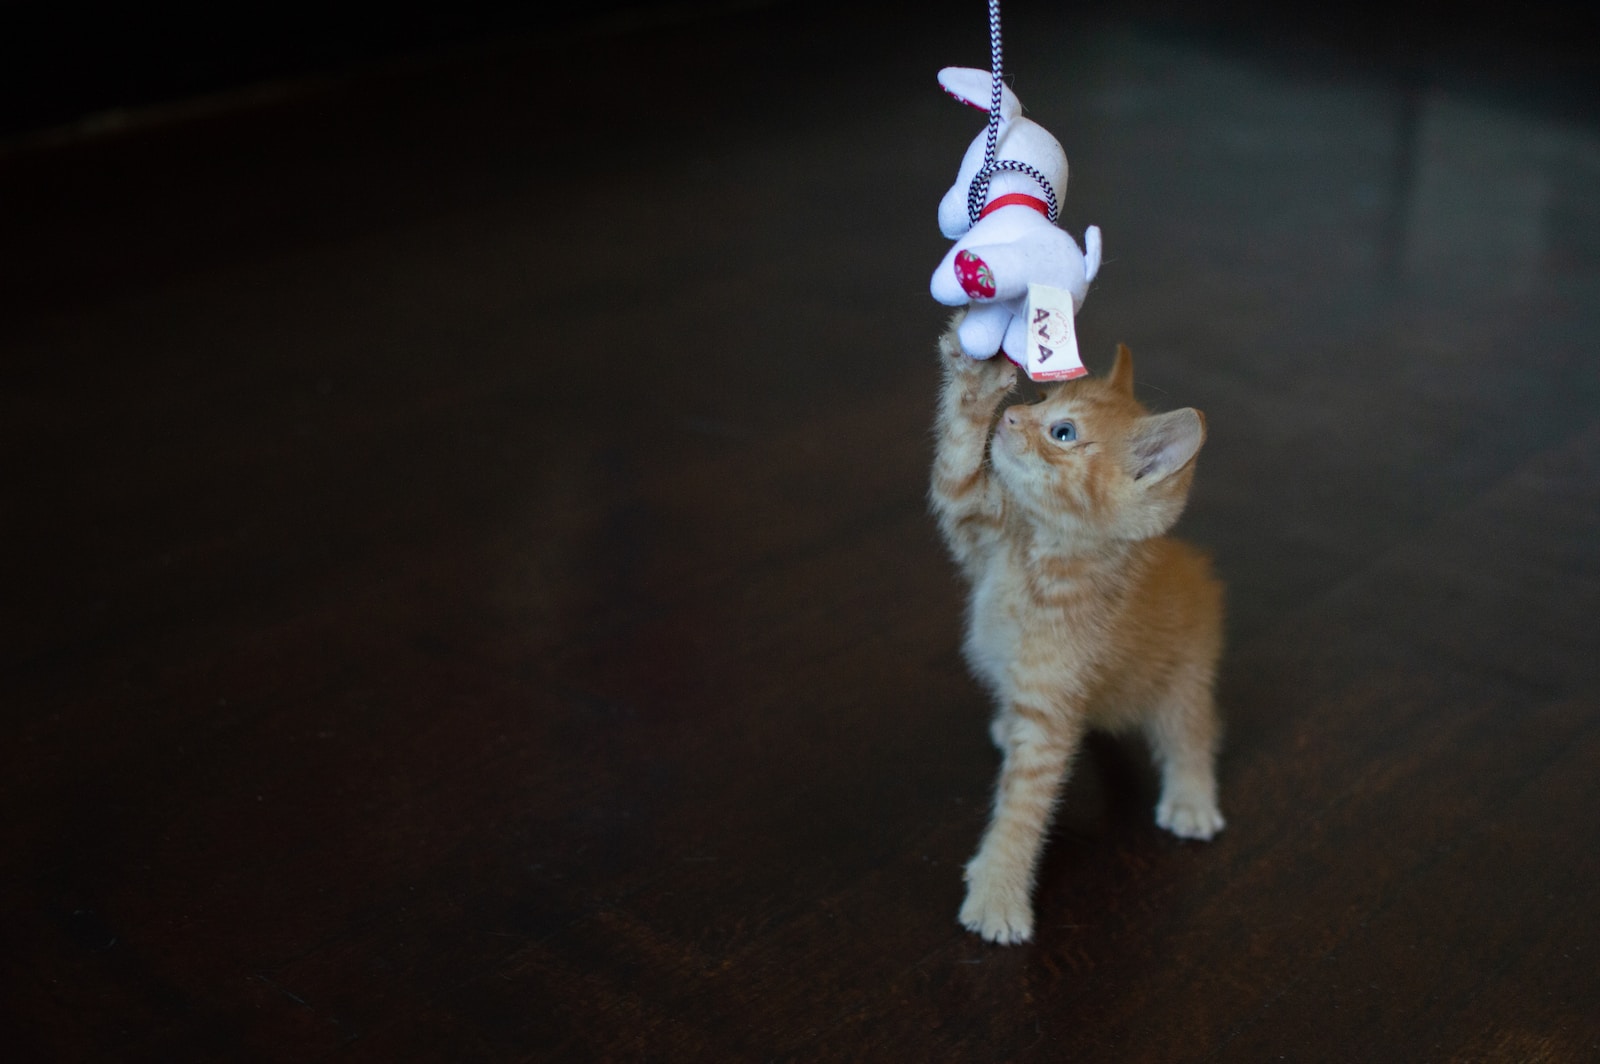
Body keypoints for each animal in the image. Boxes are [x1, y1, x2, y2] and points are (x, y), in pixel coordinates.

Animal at [928, 320, 1222, 940]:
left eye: (1063, 432)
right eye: (1042, 398)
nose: (1014, 417)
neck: (1040, 555)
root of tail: (1196, 569)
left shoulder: (1050, 713)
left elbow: (1023, 808)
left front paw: (998, 893)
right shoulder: (972, 520)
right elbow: (957, 462)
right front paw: (978, 375)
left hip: (1186, 673)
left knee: (1192, 729)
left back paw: (1192, 798)